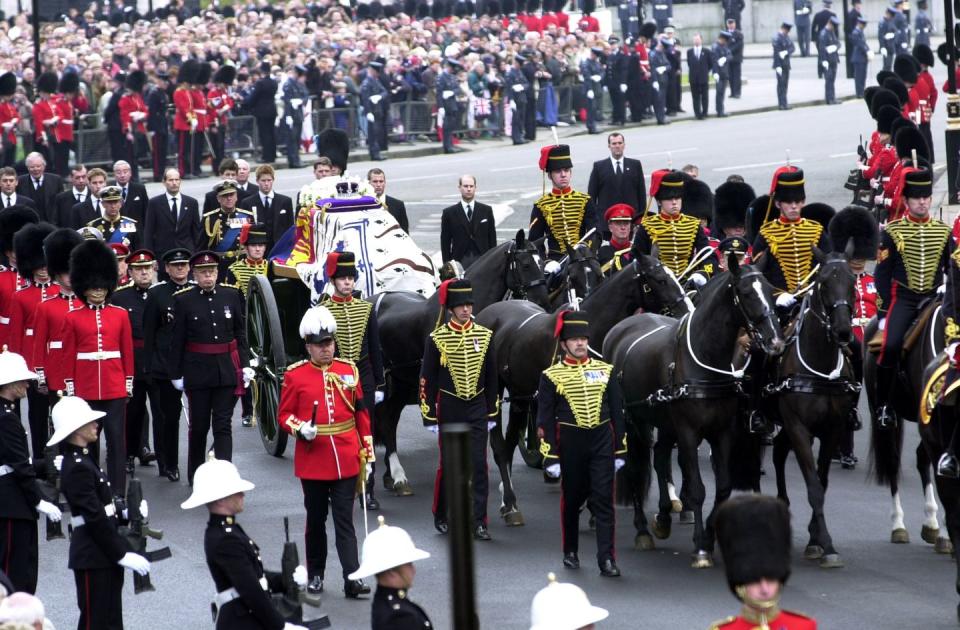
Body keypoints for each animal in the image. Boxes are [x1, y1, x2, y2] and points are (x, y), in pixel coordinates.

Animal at [370, 232, 548, 498]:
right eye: (526, 264)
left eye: (543, 264)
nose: (543, 302)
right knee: (384, 422)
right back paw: (397, 475)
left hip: (401, 384)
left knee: (388, 419)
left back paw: (392, 475)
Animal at [478, 256, 688, 528]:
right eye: (660, 279)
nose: (687, 310)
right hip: (495, 394)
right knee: (499, 445)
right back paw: (511, 503)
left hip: (520, 396)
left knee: (510, 441)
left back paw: (507, 498)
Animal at [604, 254, 784, 572]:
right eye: (746, 293)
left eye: (769, 290)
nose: (775, 342)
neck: (706, 358)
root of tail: (624, 323)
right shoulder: (688, 432)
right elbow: (699, 488)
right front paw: (700, 547)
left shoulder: (722, 432)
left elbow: (723, 486)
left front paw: (710, 537)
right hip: (633, 421)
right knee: (637, 466)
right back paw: (642, 530)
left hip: (664, 423)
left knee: (660, 458)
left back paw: (664, 516)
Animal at [768, 248, 860, 572]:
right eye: (823, 283)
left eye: (852, 281)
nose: (844, 331)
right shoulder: (798, 427)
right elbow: (813, 488)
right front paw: (826, 544)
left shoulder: (832, 429)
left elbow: (822, 481)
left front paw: (816, 539)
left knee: (778, 454)